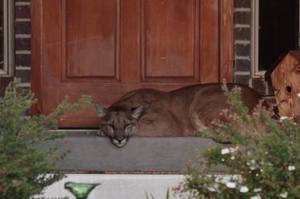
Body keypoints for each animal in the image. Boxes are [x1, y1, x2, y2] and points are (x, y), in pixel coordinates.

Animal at [95, 83, 262, 147]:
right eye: (111, 125)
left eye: (127, 124)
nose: (119, 139)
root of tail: (258, 98)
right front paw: (101, 130)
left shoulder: (166, 124)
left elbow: (139, 126)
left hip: (202, 97)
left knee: (230, 135)